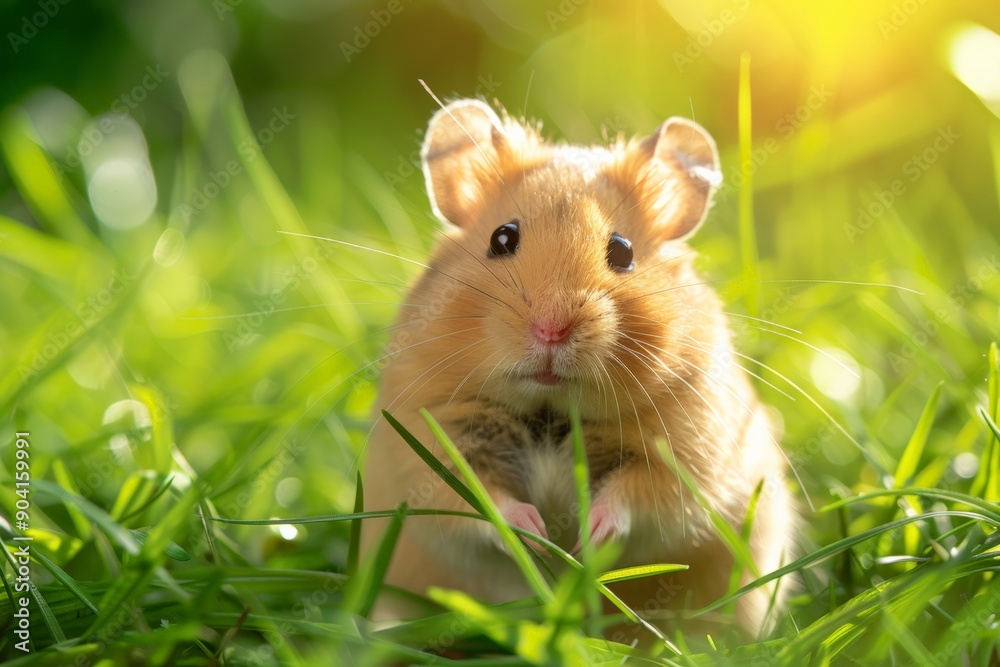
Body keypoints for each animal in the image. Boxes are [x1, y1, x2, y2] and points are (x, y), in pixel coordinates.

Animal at [360, 98, 796, 636]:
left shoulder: (689, 453)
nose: (551, 330)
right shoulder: (428, 441)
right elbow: (476, 500)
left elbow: (640, 497)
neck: (551, 408)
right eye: (502, 238)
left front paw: (583, 542)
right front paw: (537, 535)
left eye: (623, 251)